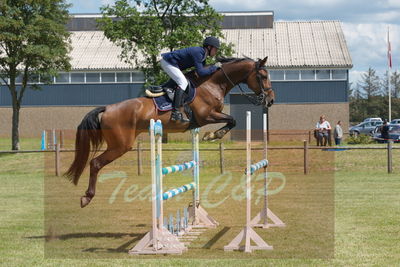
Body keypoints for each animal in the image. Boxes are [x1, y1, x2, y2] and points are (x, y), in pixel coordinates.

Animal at [65, 56, 276, 208]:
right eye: (263, 76)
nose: (271, 100)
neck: (212, 84)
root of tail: (108, 109)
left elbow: (231, 120)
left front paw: (211, 135)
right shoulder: (206, 116)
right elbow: (232, 120)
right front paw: (212, 135)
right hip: (120, 145)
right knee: (95, 163)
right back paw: (86, 197)